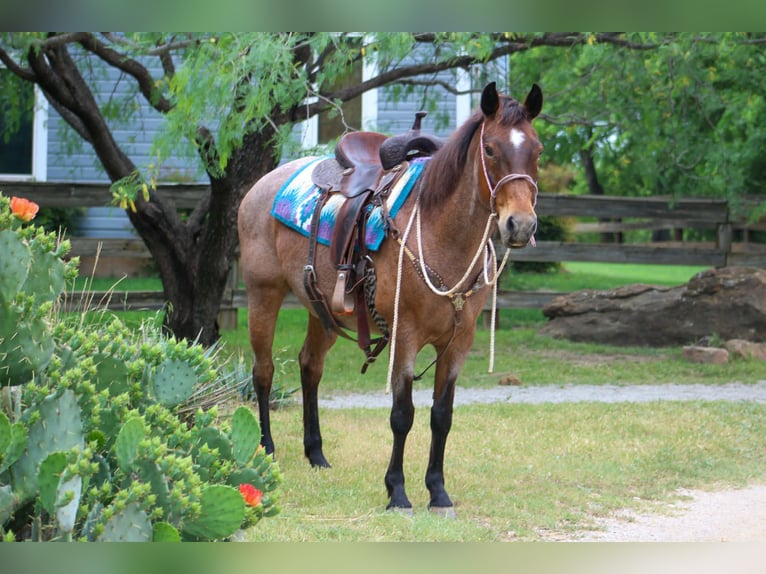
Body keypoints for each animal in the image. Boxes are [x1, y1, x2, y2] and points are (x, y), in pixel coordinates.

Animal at [237, 81, 543, 514]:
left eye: (537, 150)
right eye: (490, 149)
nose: (521, 224)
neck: (440, 235)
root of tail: (263, 185)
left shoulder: (458, 343)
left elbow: (441, 416)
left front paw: (438, 491)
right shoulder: (405, 336)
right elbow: (403, 414)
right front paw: (397, 491)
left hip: (322, 310)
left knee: (310, 367)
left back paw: (316, 453)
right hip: (263, 295)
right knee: (263, 373)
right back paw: (265, 449)